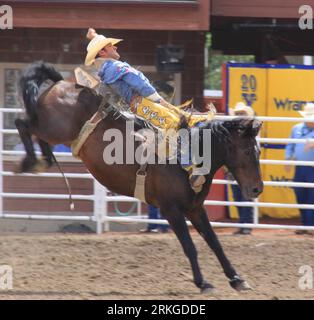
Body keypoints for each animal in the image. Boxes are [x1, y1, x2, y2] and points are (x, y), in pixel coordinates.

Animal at [15, 61, 264, 294]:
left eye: (259, 150)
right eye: (247, 151)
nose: (257, 189)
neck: (189, 156)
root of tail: (60, 83)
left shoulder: (195, 208)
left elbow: (215, 243)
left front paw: (237, 279)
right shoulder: (171, 209)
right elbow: (189, 246)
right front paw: (203, 283)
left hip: (52, 131)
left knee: (36, 135)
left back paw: (43, 160)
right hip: (52, 127)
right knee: (22, 123)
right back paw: (30, 162)